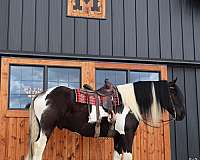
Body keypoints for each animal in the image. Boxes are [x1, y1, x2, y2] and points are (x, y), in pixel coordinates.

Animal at [25, 78, 185, 159]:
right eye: (174, 93)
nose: (182, 115)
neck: (128, 102)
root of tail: (42, 94)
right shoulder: (127, 135)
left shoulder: (118, 137)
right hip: (46, 129)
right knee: (38, 148)